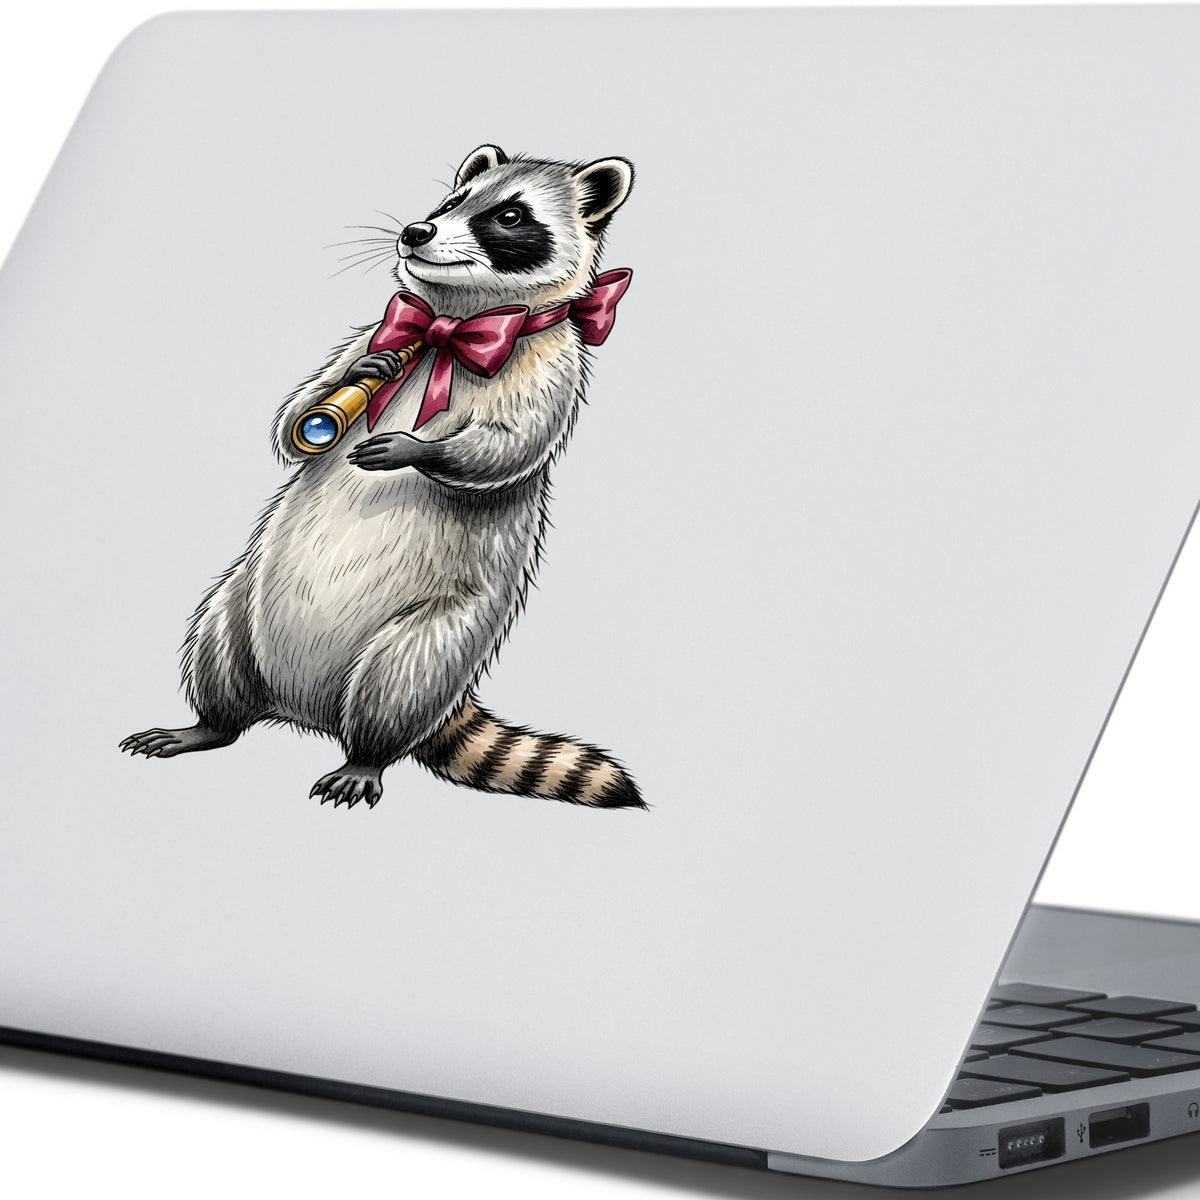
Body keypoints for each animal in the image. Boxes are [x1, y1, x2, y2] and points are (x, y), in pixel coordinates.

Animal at [121, 145, 642, 811]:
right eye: (449, 202)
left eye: (509, 215)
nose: (416, 231)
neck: (451, 327)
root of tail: (303, 711)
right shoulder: (373, 332)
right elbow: (296, 418)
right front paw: (356, 385)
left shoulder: (553, 366)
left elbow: (508, 448)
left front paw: (418, 449)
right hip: (234, 608)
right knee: (218, 656)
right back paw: (208, 722)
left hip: (435, 638)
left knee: (394, 690)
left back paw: (365, 755)